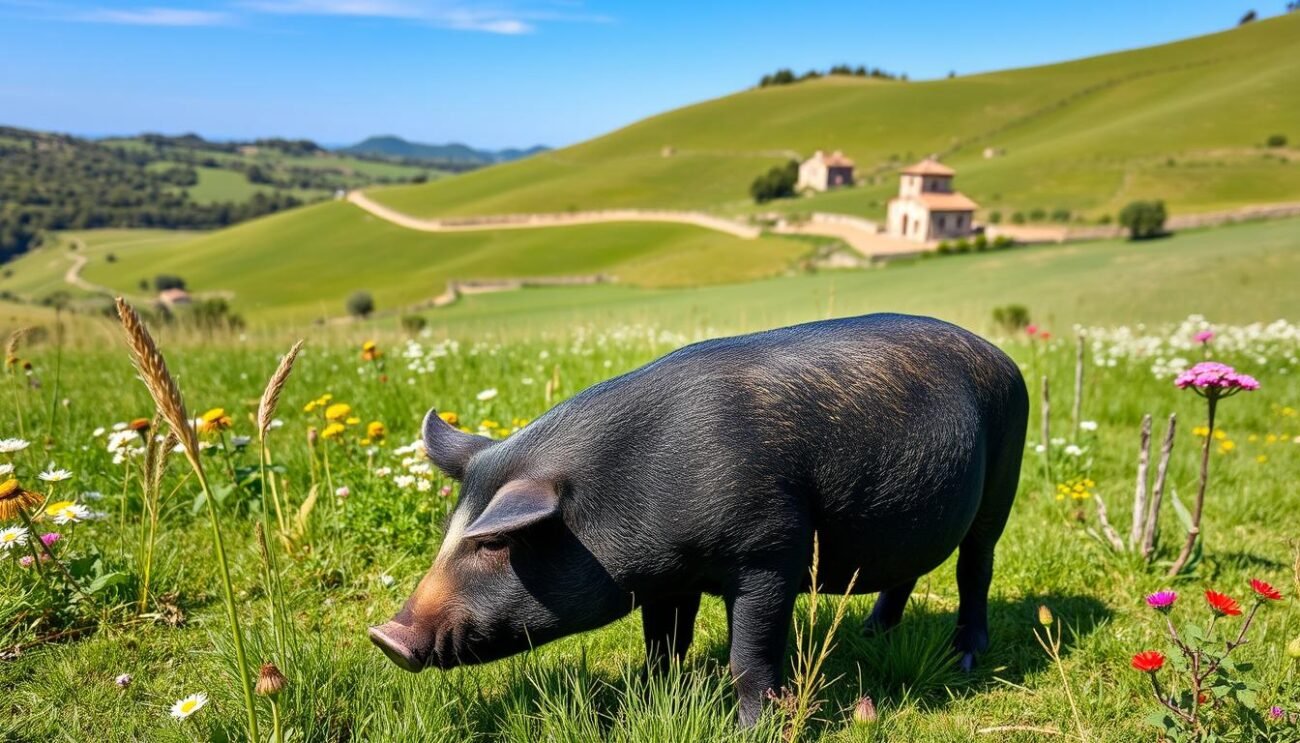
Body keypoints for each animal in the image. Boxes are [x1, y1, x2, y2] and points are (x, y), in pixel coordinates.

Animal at [371, 313, 1029, 727]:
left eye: (496, 544)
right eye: (450, 533)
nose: (385, 637)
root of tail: (1004, 357)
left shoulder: (771, 553)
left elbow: (748, 658)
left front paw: (753, 729)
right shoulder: (666, 578)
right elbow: (663, 645)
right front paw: (651, 699)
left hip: (1003, 474)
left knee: (975, 568)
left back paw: (966, 656)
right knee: (906, 573)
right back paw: (872, 634)